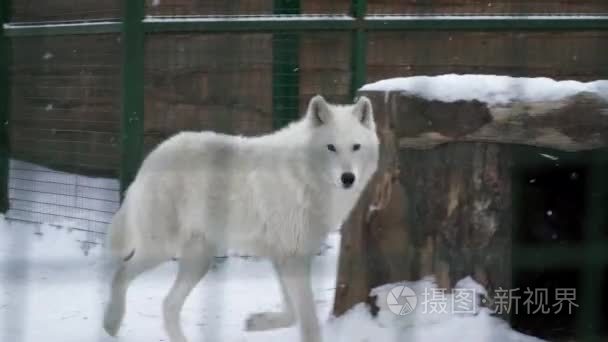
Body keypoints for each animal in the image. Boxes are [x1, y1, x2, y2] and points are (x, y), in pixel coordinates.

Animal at [104, 94, 380, 342]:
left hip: (198, 261)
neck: (304, 177)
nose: (348, 178)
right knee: (120, 274)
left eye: (356, 147)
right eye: (331, 147)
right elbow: (308, 321)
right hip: (161, 250)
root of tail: (150, 159)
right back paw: (110, 325)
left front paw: (257, 322)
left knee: (168, 305)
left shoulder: (285, 257)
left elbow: (293, 313)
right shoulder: (292, 259)